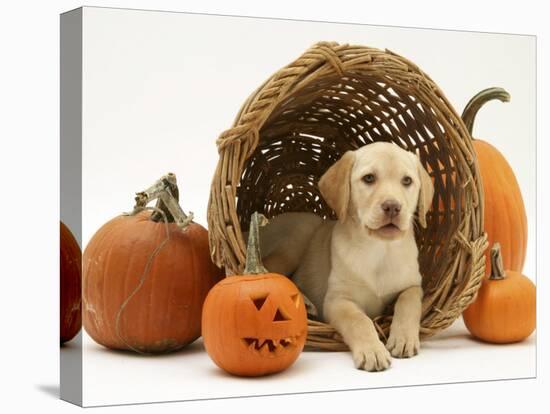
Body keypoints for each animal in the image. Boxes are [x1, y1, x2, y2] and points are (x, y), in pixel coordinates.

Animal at [258, 142, 436, 372]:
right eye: (368, 178)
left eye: (407, 181)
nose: (392, 207)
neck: (379, 250)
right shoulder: (337, 300)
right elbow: (358, 320)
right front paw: (372, 351)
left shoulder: (413, 285)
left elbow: (409, 301)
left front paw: (403, 338)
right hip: (293, 243)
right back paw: (305, 303)